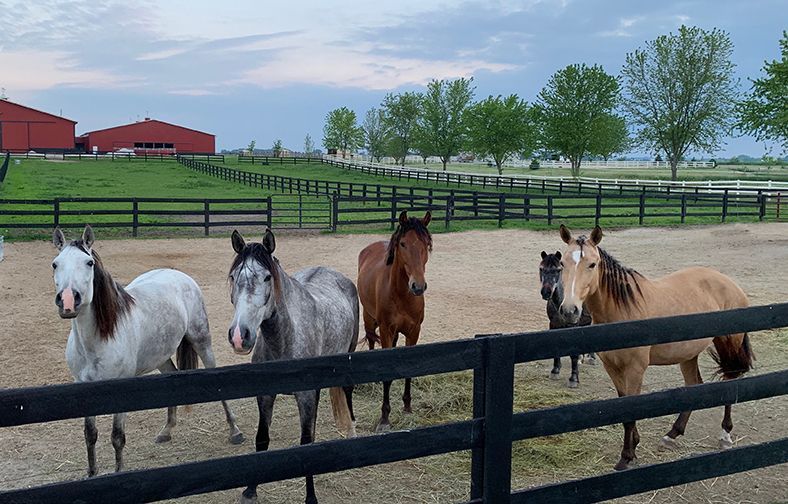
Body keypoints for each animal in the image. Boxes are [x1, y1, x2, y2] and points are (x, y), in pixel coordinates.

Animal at [51, 225, 243, 477]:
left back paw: (235, 431)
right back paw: (166, 431)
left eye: (89, 262)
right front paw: (91, 475)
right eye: (55, 264)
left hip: (202, 341)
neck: (98, 340)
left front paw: (119, 473)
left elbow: (117, 437)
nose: (67, 300)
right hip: (160, 356)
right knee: (171, 375)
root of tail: (179, 275)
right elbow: (90, 435)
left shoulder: (120, 390)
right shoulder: (82, 387)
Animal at [227, 228, 358, 504]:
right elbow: (262, 439)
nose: (239, 336)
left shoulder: (305, 396)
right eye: (233, 277)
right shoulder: (265, 395)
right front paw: (251, 490)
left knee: (347, 391)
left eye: (267, 277)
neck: (285, 339)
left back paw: (351, 431)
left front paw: (311, 497)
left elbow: (306, 444)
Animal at [357, 210, 432, 432]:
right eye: (403, 244)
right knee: (371, 342)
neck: (401, 295)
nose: (418, 286)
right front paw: (385, 417)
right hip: (369, 319)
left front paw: (407, 407)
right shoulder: (386, 331)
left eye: (426, 244)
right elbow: (387, 375)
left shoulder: (414, 331)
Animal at [539, 250, 595, 388]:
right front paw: (555, 370)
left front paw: (573, 378)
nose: (546, 292)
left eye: (558, 270)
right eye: (541, 268)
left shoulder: (572, 325)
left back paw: (591, 357)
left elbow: (573, 354)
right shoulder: (554, 324)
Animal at [556, 224, 754, 471]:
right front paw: (633, 447)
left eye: (592, 264)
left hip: (728, 343)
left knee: (730, 379)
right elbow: (623, 409)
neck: (623, 311)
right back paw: (672, 434)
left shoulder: (635, 370)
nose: (569, 310)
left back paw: (725, 434)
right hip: (688, 354)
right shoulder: (613, 368)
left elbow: (631, 411)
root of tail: (729, 283)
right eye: (562, 263)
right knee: (693, 385)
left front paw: (625, 457)